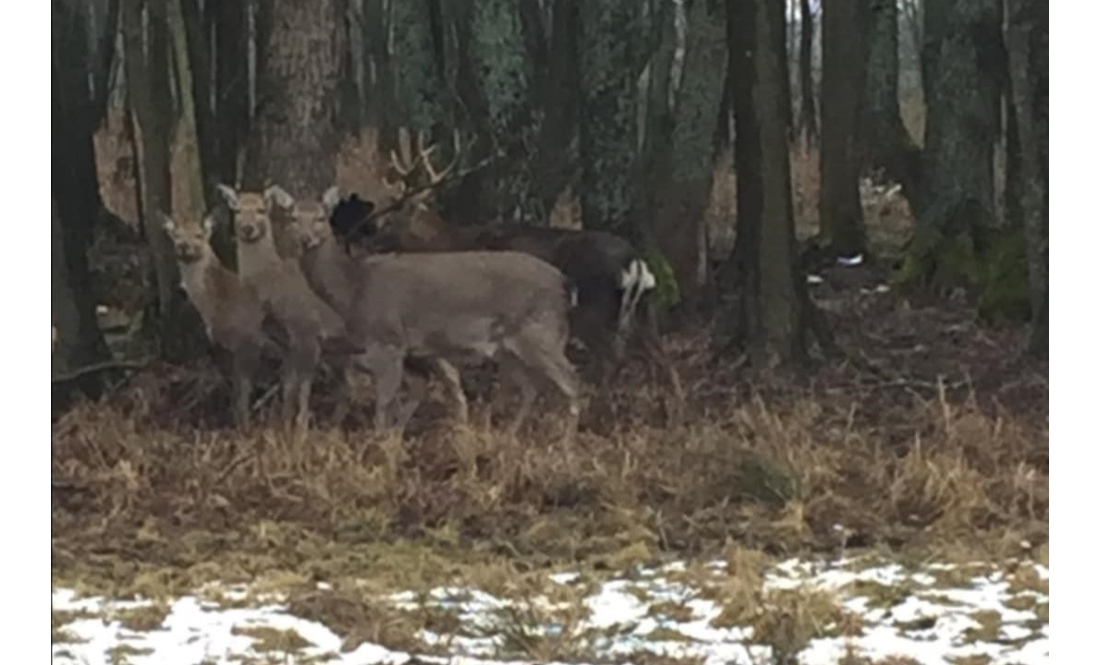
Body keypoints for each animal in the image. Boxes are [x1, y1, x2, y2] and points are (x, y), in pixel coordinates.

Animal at [161, 214, 275, 430]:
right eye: (176, 235)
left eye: (199, 235)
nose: (184, 247)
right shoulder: (226, 347)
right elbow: (236, 388)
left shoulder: (249, 340)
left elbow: (243, 390)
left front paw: (243, 426)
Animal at [214, 185, 365, 435]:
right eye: (237, 210)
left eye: (261, 209)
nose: (247, 228)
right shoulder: (288, 344)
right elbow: (289, 387)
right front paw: (282, 426)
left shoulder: (306, 335)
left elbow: (302, 388)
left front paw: (298, 431)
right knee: (350, 386)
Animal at [265, 184, 580, 441]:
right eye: (293, 218)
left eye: (321, 218)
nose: (306, 239)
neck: (355, 289)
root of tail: (564, 283)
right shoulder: (408, 351)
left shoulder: (389, 340)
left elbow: (383, 407)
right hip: (509, 347)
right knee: (531, 388)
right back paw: (507, 437)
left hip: (541, 333)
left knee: (572, 382)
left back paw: (565, 443)